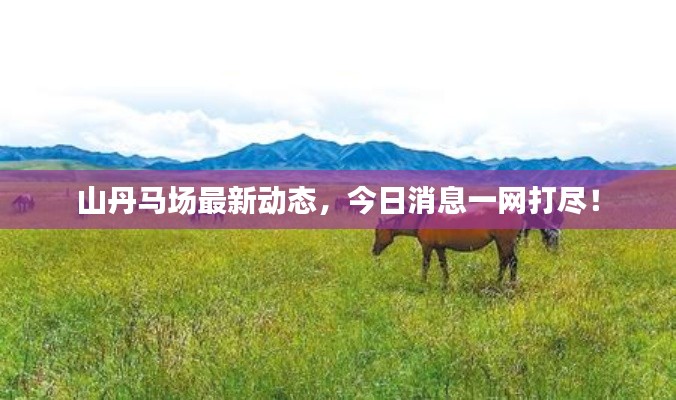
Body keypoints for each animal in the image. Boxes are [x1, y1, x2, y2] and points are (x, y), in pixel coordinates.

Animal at [372, 205, 522, 287]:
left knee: (513, 262)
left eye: (377, 232)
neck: (422, 219)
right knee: (503, 261)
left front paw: (423, 282)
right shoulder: (440, 248)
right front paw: (445, 283)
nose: (374, 251)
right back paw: (498, 282)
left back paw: (511, 285)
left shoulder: (427, 247)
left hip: (505, 242)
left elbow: (425, 265)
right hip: (500, 242)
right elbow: (443, 264)